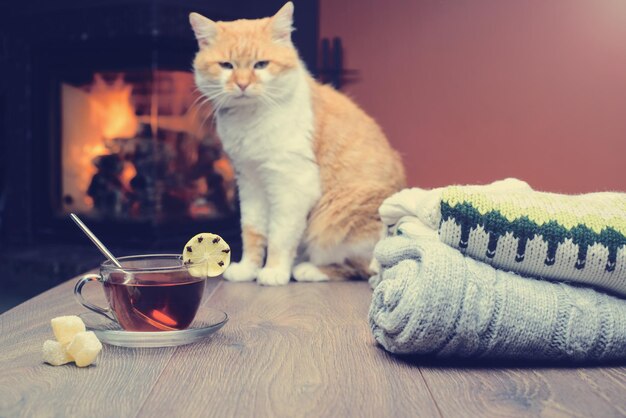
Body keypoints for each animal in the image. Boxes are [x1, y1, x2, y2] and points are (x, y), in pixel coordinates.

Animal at [190, 2, 404, 284]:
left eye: (261, 64)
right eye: (226, 65)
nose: (243, 84)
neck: (250, 120)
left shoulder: (291, 185)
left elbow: (279, 235)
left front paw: (274, 272)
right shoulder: (250, 182)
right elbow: (252, 231)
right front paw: (248, 268)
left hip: (335, 216)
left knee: (362, 268)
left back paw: (307, 269)